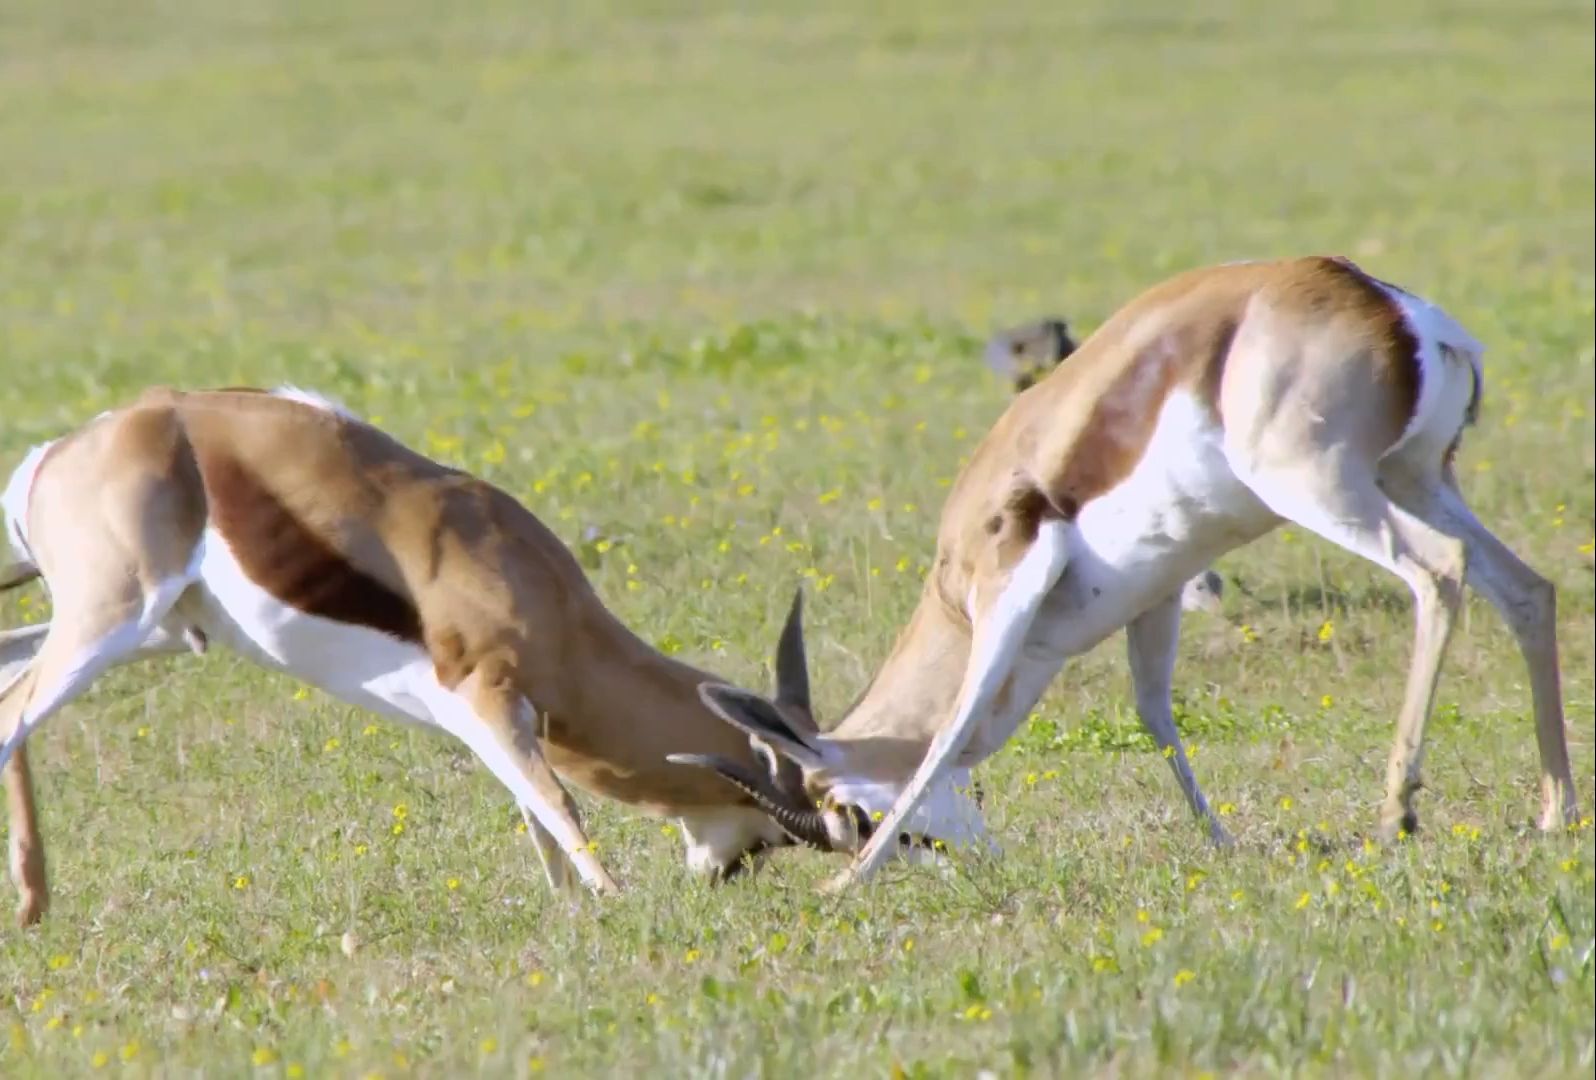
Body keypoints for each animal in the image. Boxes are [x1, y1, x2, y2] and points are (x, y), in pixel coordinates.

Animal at [0, 382, 823, 925]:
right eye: (775, 829)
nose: (718, 880)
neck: (544, 597)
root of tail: (56, 455)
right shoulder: (487, 694)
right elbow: (558, 803)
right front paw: (616, 905)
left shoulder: (495, 720)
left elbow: (532, 808)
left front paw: (568, 912)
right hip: (112, 620)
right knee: (13, 712)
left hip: (161, 631)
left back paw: (37, 901)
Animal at [679, 256, 1576, 886]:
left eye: (846, 818)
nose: (962, 862)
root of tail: (1396, 310)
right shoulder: (1158, 593)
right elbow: (1155, 714)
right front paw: (1223, 840)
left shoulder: (1005, 589)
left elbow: (952, 729)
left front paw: (848, 886)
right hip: (1416, 479)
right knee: (1527, 589)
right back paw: (1555, 813)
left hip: (1323, 488)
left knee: (1440, 573)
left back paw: (1397, 814)